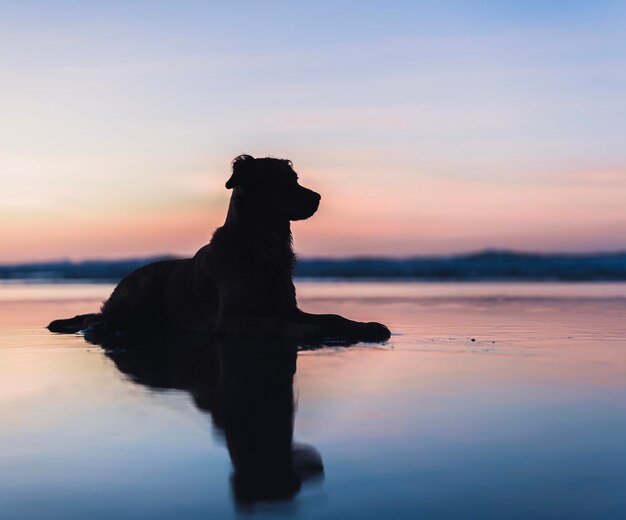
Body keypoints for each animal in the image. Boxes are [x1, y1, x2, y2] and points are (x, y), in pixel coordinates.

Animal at [47, 152, 390, 344]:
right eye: (280, 181)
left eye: (295, 178)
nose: (318, 197)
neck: (261, 246)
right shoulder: (231, 317)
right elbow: (275, 323)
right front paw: (305, 332)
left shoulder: (287, 306)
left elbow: (333, 316)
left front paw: (367, 326)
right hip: (143, 288)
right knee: (95, 320)